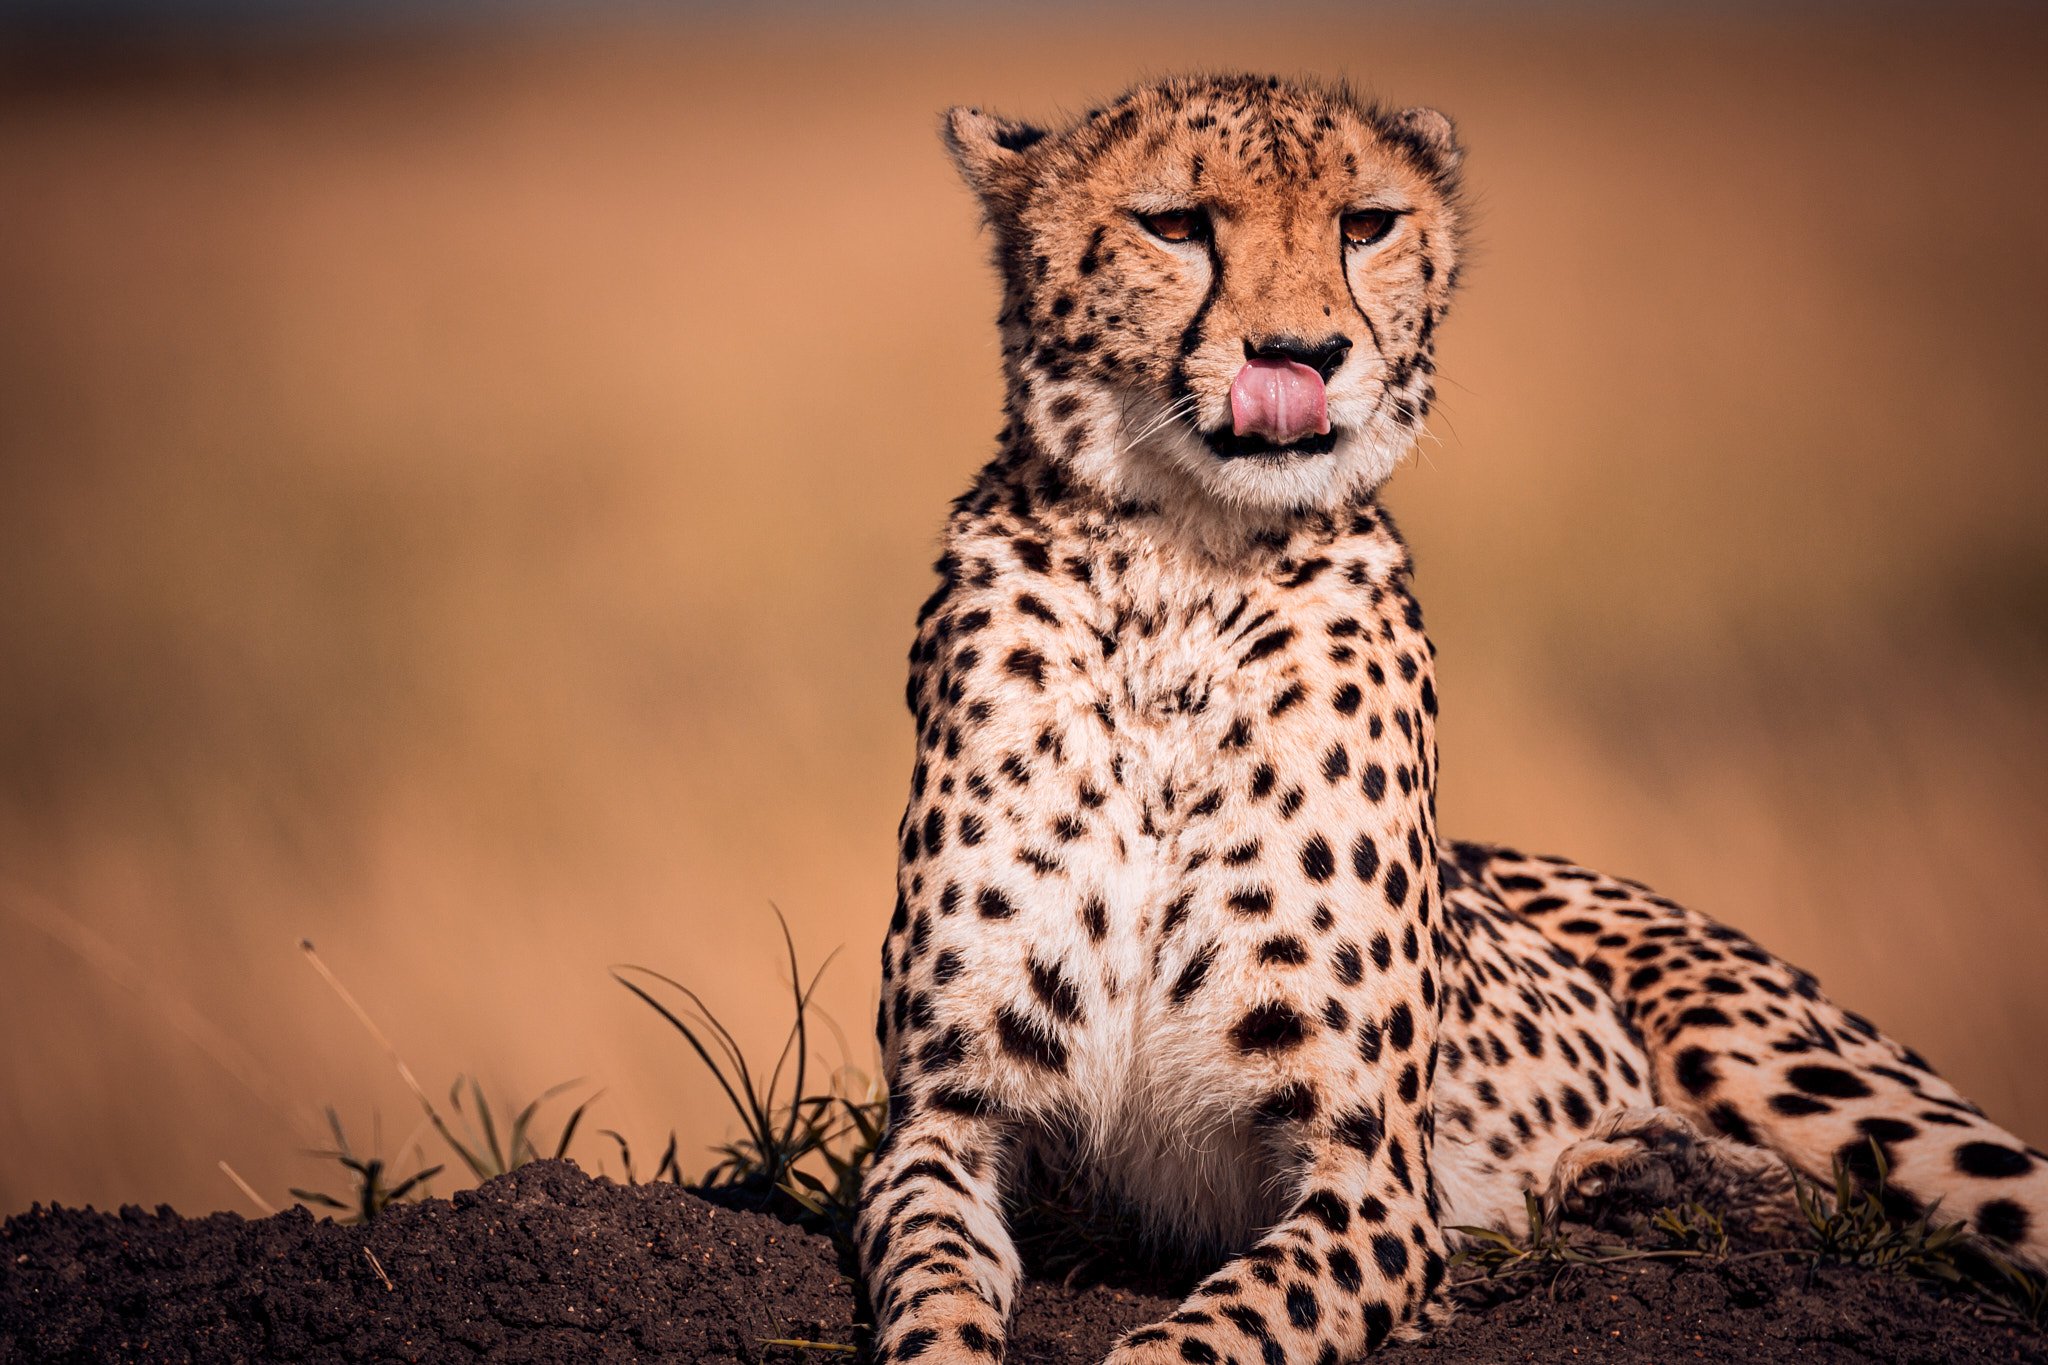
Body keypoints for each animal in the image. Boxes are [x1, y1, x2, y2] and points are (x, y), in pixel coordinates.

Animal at [854, 72, 2048, 1365]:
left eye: (1365, 224)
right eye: (1172, 224)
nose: (1300, 355)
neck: (1180, 570)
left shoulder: (1369, 1170)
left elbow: (1219, 1328)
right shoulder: (940, 1121)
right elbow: (931, 1291)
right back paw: (1652, 1173)